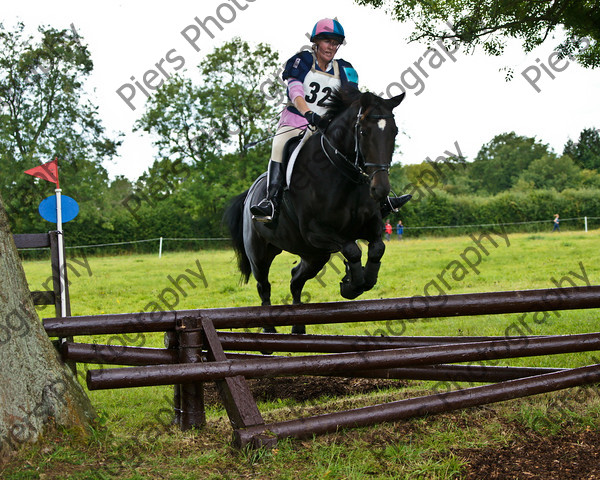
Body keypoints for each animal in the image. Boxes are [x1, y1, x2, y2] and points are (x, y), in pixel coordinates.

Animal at [223, 88, 406, 332]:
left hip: (314, 255)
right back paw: (269, 331)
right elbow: (352, 250)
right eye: (364, 131)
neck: (344, 175)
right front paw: (352, 284)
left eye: (394, 132)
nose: (380, 189)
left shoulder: (372, 228)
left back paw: (298, 328)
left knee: (295, 279)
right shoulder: (316, 232)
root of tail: (250, 192)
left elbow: (377, 249)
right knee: (264, 286)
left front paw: (359, 280)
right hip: (260, 252)